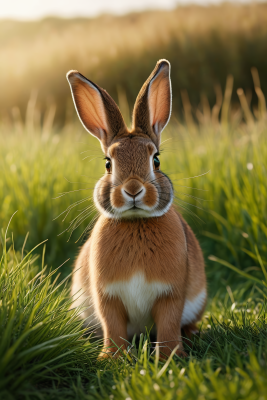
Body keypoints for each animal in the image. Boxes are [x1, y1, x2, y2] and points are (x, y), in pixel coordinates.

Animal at [66, 59, 207, 360]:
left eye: (156, 160)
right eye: (108, 163)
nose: (132, 190)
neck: (136, 222)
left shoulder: (171, 295)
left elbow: (168, 325)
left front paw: (169, 357)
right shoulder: (107, 296)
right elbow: (113, 325)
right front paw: (112, 357)